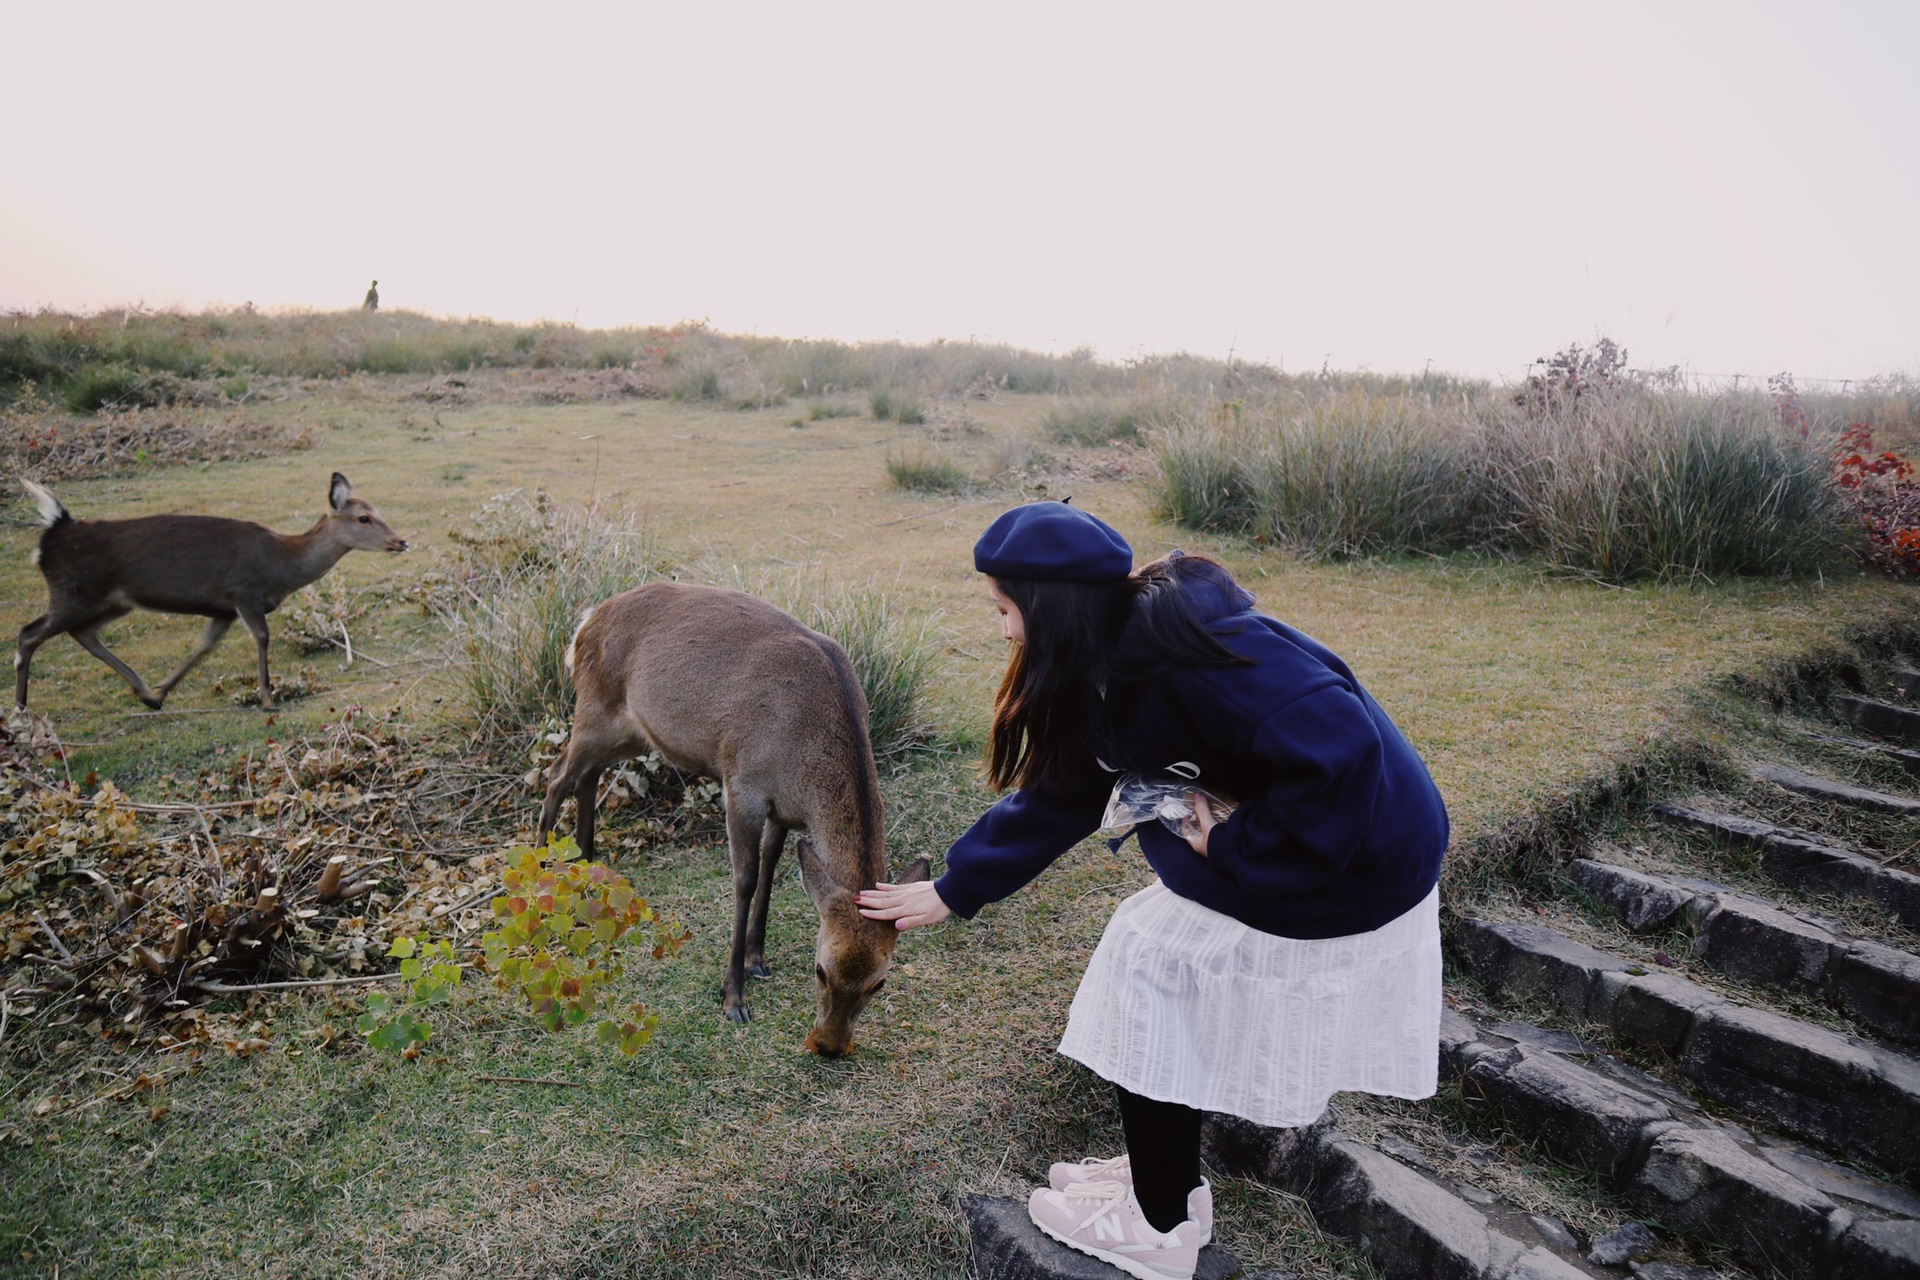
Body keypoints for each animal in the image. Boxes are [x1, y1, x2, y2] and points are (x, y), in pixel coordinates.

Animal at [15, 470, 407, 710]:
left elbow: (204, 646)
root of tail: (53, 534)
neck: (282, 566)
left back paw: (144, 693)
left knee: (82, 633)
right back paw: (20, 709)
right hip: (73, 592)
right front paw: (267, 699)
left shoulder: (221, 609)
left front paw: (162, 691)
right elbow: (262, 638)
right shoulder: (243, 591)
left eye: (377, 510)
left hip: (110, 601)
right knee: (28, 633)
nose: (400, 541)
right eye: (363, 518)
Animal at [537, 583, 933, 1059]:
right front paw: (734, 997)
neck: (803, 764)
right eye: (820, 970)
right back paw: (540, 869)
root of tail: (585, 622)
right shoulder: (742, 783)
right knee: (557, 774)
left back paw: (586, 861)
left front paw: (757, 958)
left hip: (630, 730)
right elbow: (745, 879)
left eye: (879, 983)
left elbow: (771, 866)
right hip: (594, 706)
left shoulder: (782, 808)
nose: (829, 1045)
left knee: (588, 775)